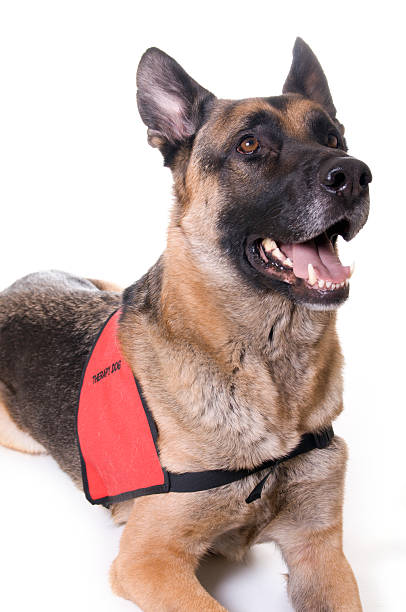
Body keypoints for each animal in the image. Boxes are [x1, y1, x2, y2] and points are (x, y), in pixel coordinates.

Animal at [0, 39, 372, 612]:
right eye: (249, 145)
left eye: (332, 137)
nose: (353, 175)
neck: (271, 372)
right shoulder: (150, 560)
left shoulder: (319, 548)